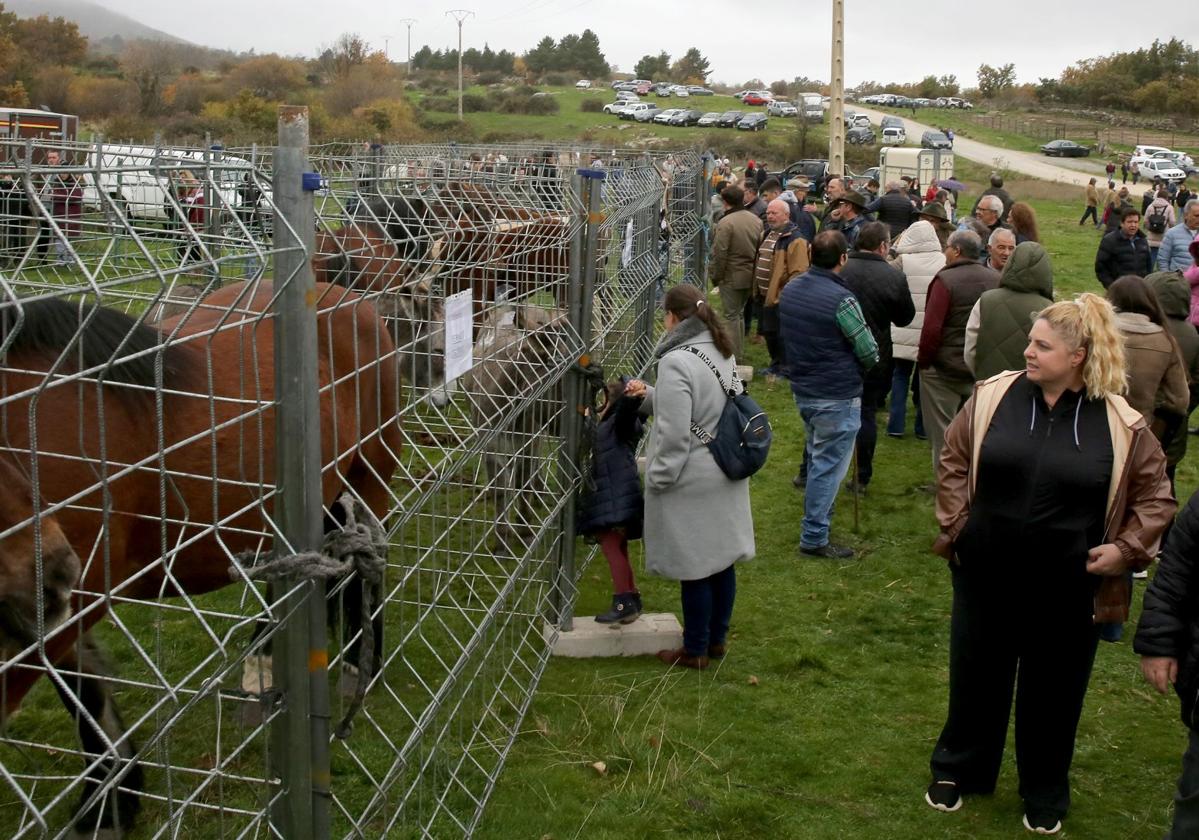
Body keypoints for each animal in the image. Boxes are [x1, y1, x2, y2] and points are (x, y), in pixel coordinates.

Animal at [0, 283, 402, 838]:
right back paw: (262, 666)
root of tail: (350, 299)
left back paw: (357, 664)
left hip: (370, 473)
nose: (50, 564)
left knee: (366, 571)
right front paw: (112, 798)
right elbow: (85, 685)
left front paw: (106, 801)